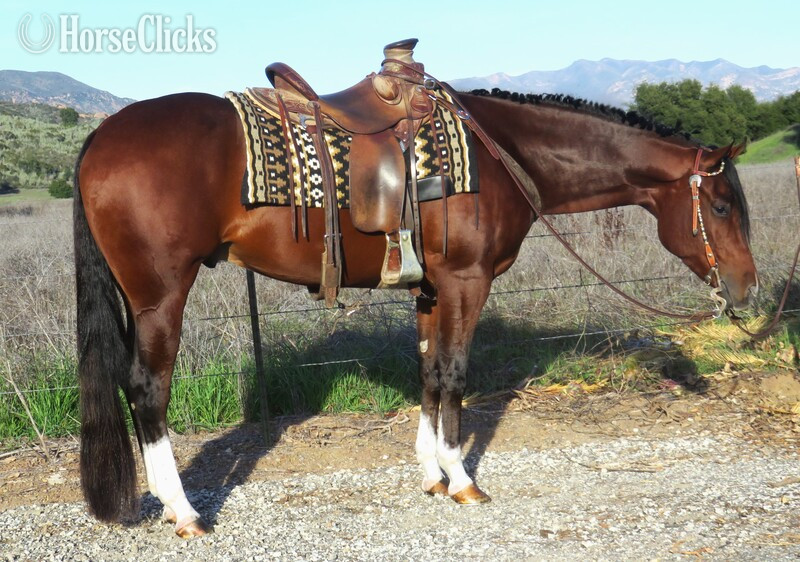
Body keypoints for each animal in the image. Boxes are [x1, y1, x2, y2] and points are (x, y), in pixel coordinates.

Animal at [73, 86, 757, 537]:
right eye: (722, 206)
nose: (747, 289)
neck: (503, 154)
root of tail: (101, 137)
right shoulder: (466, 282)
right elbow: (454, 373)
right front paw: (462, 478)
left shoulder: (430, 290)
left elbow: (429, 373)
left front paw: (432, 474)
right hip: (161, 295)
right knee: (148, 389)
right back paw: (184, 511)